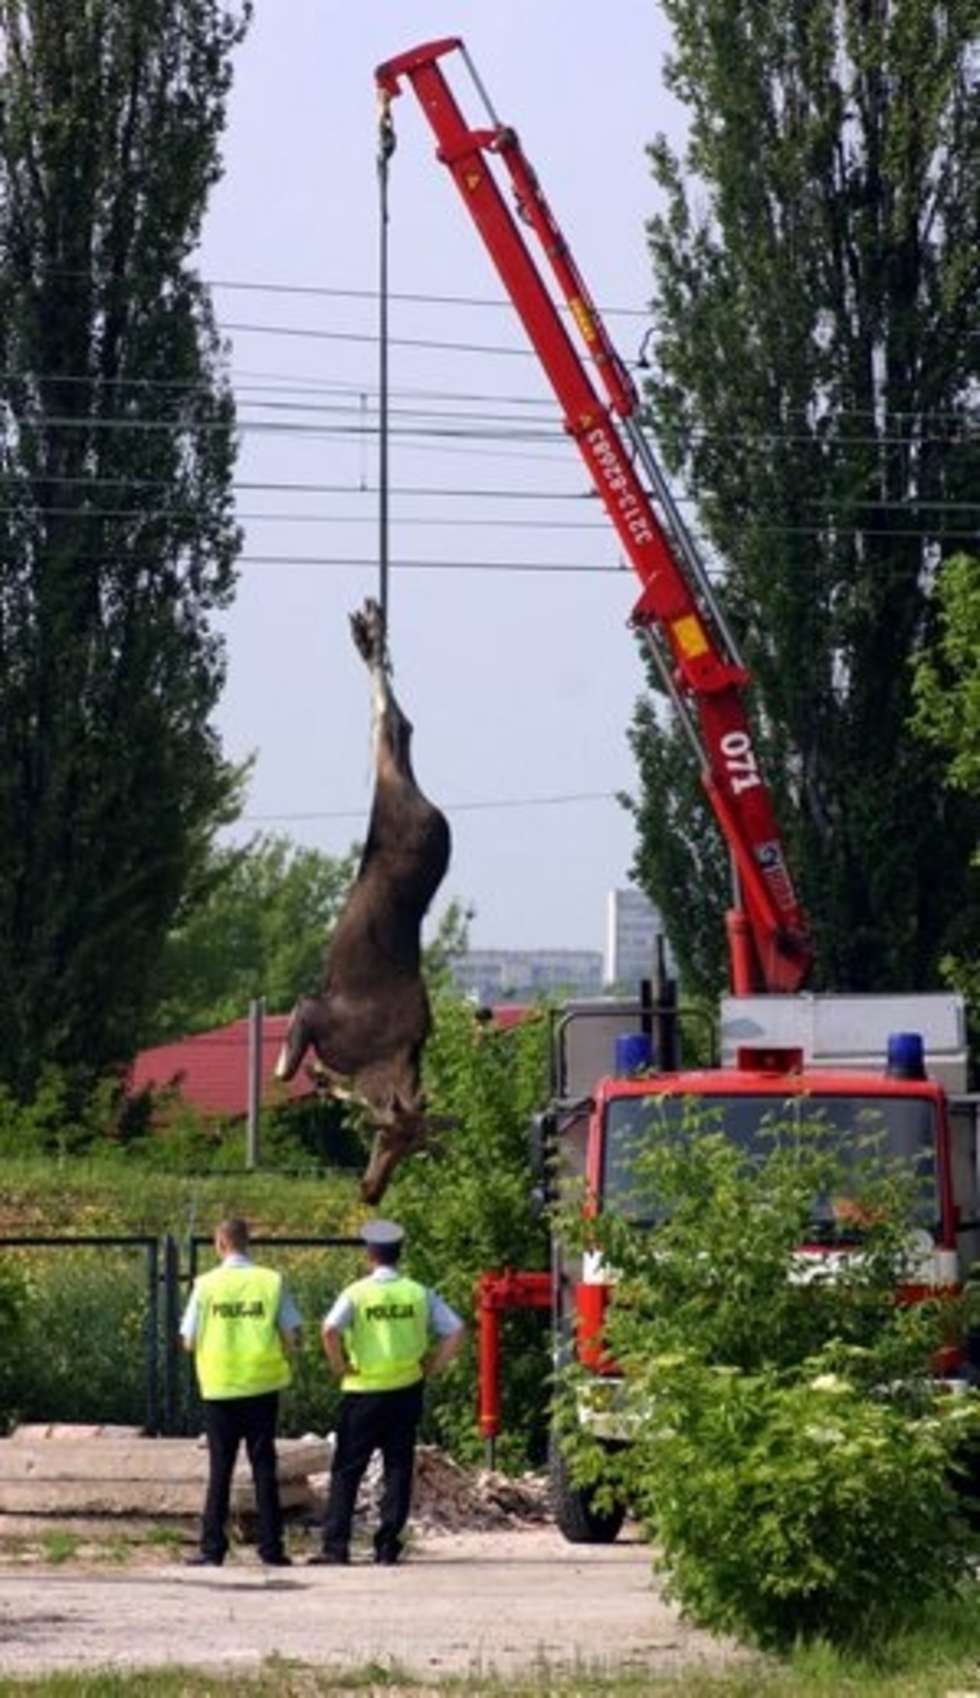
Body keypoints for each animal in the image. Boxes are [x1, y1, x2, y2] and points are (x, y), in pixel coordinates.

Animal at [275, 601, 451, 1208]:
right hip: (402, 812)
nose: (371, 1190)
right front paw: (313, 1076)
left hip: (401, 803)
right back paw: (371, 631)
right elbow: (287, 1071)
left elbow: (302, 1077)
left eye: (414, 1150)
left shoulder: (318, 1017)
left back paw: (369, 633)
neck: (386, 1061)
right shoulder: (313, 1012)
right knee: (394, 730)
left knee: (395, 729)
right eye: (388, 1139)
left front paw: (323, 1081)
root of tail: (434, 812)